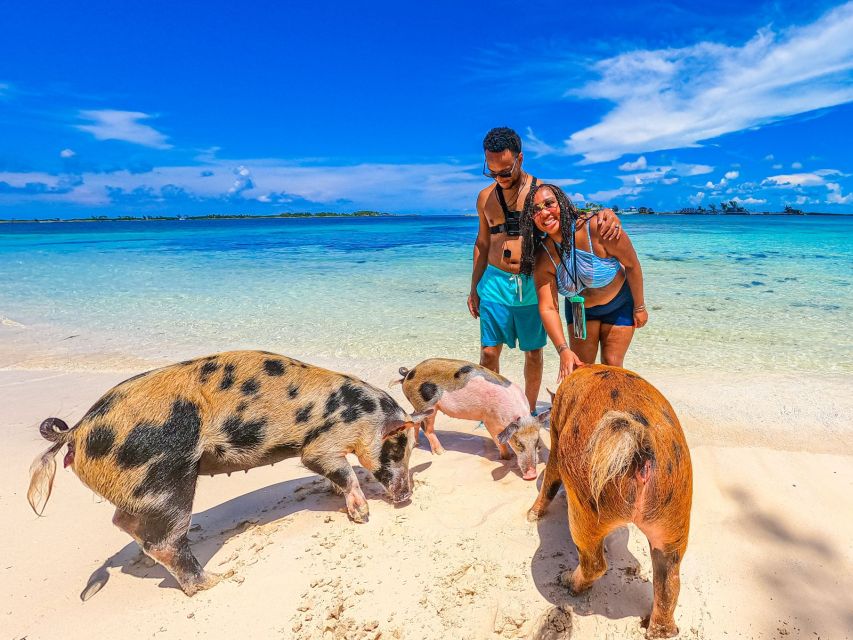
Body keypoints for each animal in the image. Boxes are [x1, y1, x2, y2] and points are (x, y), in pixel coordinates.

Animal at [27, 350, 432, 596]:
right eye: (398, 448)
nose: (407, 496)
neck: (364, 416)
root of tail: (75, 431)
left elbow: (336, 478)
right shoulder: (320, 444)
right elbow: (340, 471)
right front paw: (363, 516)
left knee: (124, 522)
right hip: (168, 481)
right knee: (165, 541)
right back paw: (219, 580)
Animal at [394, 356, 548, 480]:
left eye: (537, 442)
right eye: (518, 443)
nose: (532, 475)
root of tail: (408, 373)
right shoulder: (490, 420)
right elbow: (498, 440)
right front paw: (506, 458)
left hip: (419, 406)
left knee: (415, 420)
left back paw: (417, 444)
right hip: (427, 405)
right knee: (427, 428)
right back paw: (442, 452)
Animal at [524, 364, 692, 640]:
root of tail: (641, 444)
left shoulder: (557, 436)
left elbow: (550, 480)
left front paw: (530, 515)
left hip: (587, 509)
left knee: (595, 563)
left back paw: (566, 582)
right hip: (675, 514)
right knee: (670, 581)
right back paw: (658, 631)